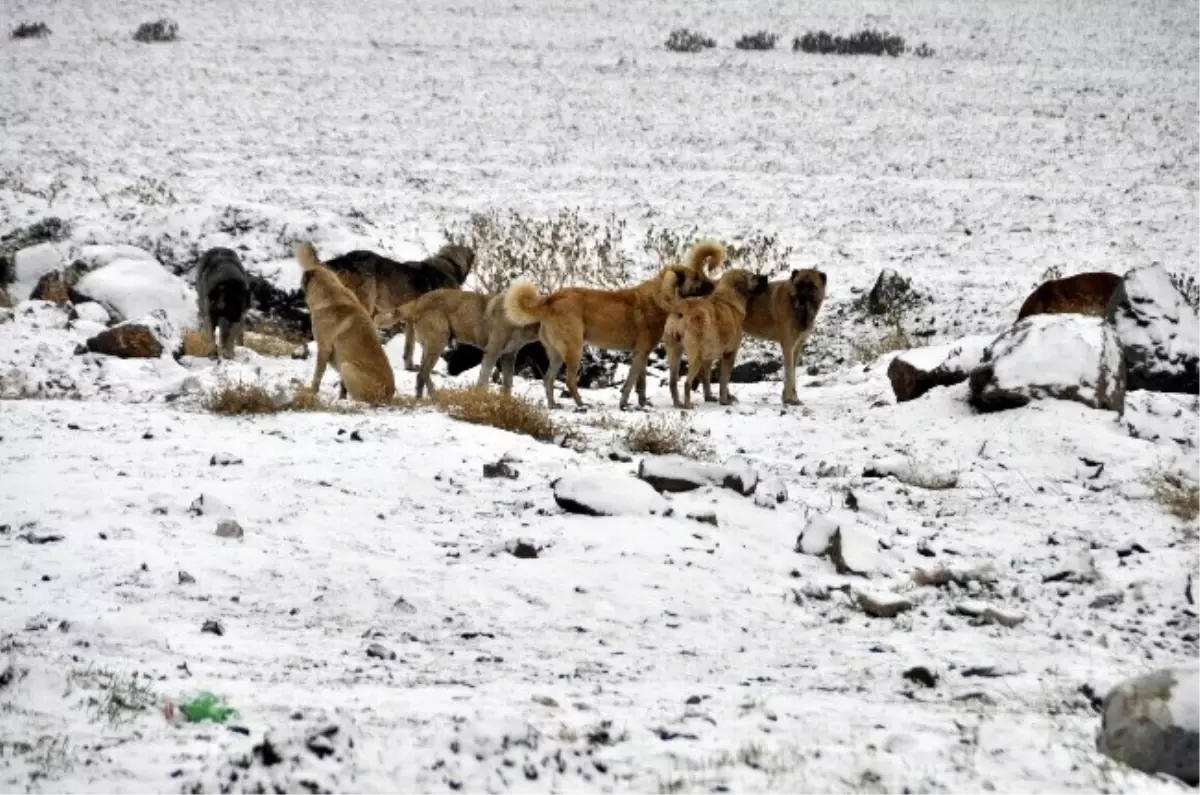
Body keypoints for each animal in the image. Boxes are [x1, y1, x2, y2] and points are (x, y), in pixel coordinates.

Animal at [295, 242, 398, 405]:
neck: (330, 295)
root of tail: (388, 396)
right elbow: (341, 388)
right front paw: (340, 399)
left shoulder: (323, 348)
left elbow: (317, 377)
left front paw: (312, 394)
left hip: (346, 367)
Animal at [396, 287, 542, 398]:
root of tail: (418, 300)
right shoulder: (492, 352)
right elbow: (483, 381)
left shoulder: (508, 357)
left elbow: (507, 385)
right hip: (438, 343)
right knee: (423, 373)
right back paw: (434, 398)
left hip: (431, 348)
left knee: (421, 374)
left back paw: (421, 399)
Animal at [499, 240, 720, 410]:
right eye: (696, 277)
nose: (715, 285)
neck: (658, 297)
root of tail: (550, 300)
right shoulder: (639, 353)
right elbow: (630, 383)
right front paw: (624, 404)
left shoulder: (642, 354)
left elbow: (641, 383)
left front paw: (642, 404)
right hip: (574, 350)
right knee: (569, 381)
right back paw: (581, 405)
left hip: (556, 355)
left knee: (548, 380)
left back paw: (553, 405)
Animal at [667, 269, 768, 408]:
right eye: (753, 277)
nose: (766, 277)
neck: (729, 299)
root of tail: (681, 308)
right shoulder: (729, 354)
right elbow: (724, 380)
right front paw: (724, 400)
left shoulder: (708, 359)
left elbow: (707, 380)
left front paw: (710, 397)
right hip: (695, 358)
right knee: (687, 383)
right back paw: (688, 404)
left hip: (674, 354)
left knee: (672, 382)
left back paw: (678, 403)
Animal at [739, 271, 825, 408]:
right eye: (798, 284)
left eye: (811, 286)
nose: (801, 300)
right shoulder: (787, 345)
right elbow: (789, 372)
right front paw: (791, 399)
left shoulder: (796, 347)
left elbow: (792, 371)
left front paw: (789, 398)